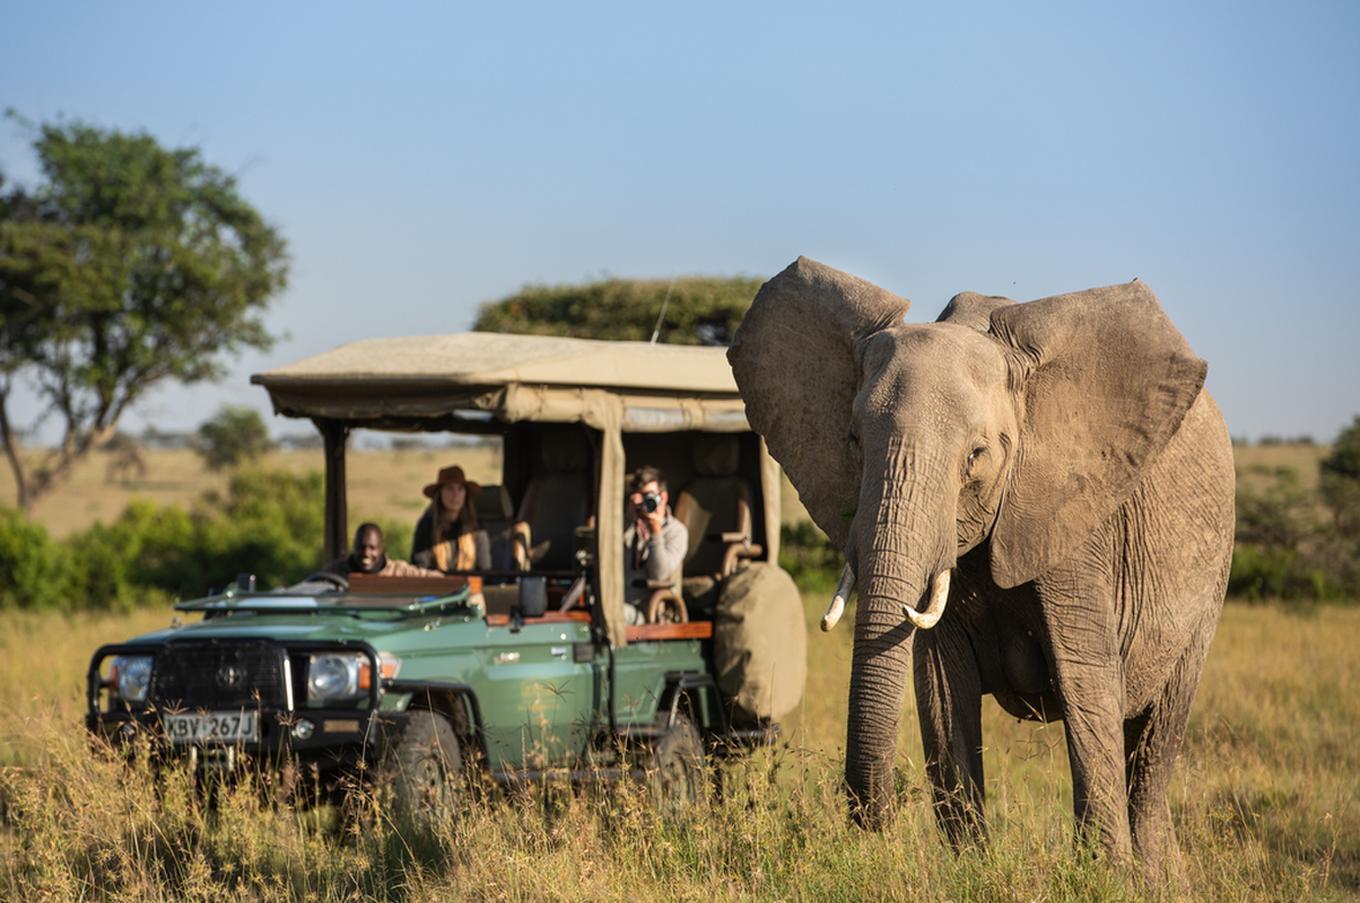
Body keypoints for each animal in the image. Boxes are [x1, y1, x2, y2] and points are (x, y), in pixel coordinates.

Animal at [728, 257, 1240, 875]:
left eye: (977, 454)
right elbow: (942, 693)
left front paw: (1105, 878)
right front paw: (971, 873)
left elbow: (1086, 687)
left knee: (1153, 745)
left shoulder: (1074, 519)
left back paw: (1152, 876)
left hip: (1211, 578)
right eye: (853, 441)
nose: (875, 817)